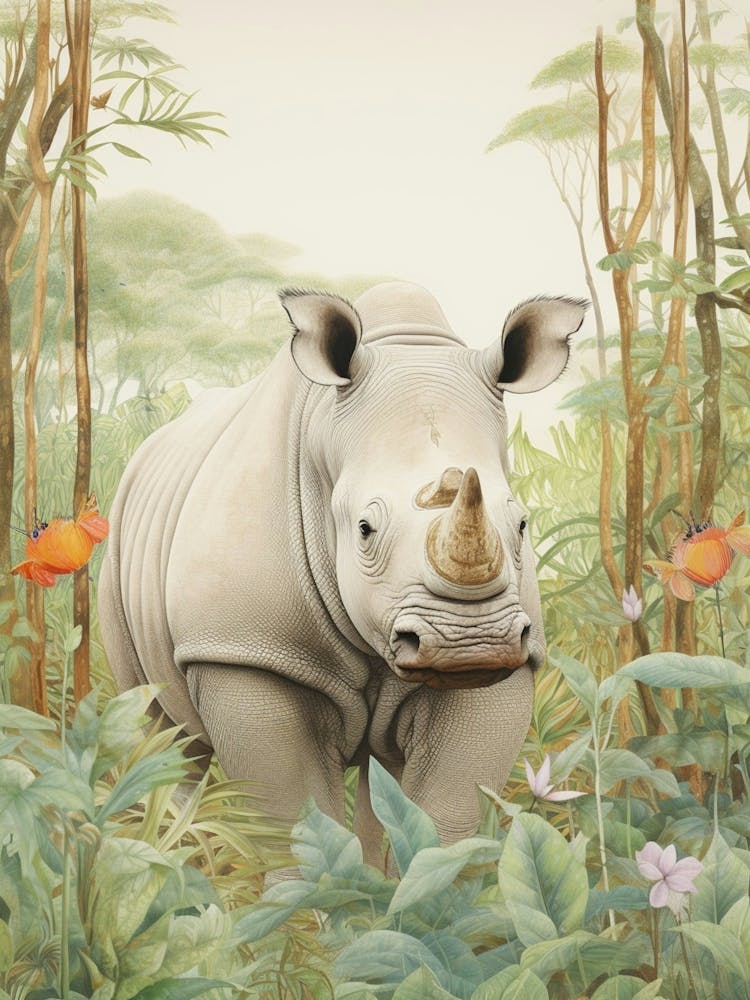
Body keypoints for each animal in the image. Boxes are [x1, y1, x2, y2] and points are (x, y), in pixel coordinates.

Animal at [98, 281, 586, 862]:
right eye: (364, 529)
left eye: (522, 524)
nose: (470, 644)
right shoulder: (244, 650)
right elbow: (292, 818)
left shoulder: (512, 656)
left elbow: (447, 814)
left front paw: (426, 884)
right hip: (118, 547)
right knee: (163, 733)